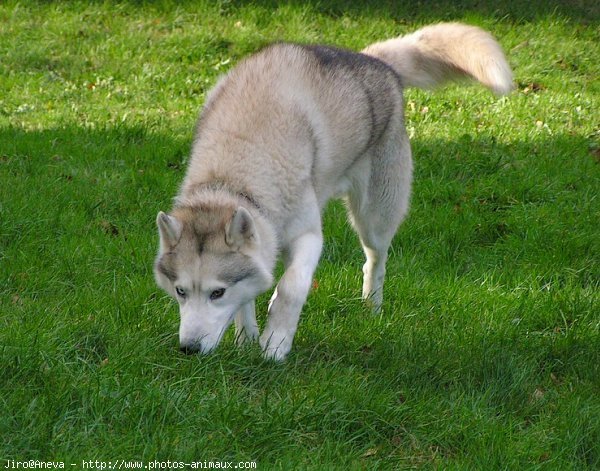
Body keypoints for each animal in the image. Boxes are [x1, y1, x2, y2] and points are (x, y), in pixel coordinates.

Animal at [154, 22, 510, 362]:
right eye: (180, 291)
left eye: (217, 293)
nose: (188, 349)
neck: (233, 177)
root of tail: (374, 61)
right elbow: (250, 296)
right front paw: (246, 340)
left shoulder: (309, 236)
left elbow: (291, 287)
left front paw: (275, 343)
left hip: (374, 218)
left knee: (375, 260)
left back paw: (372, 306)